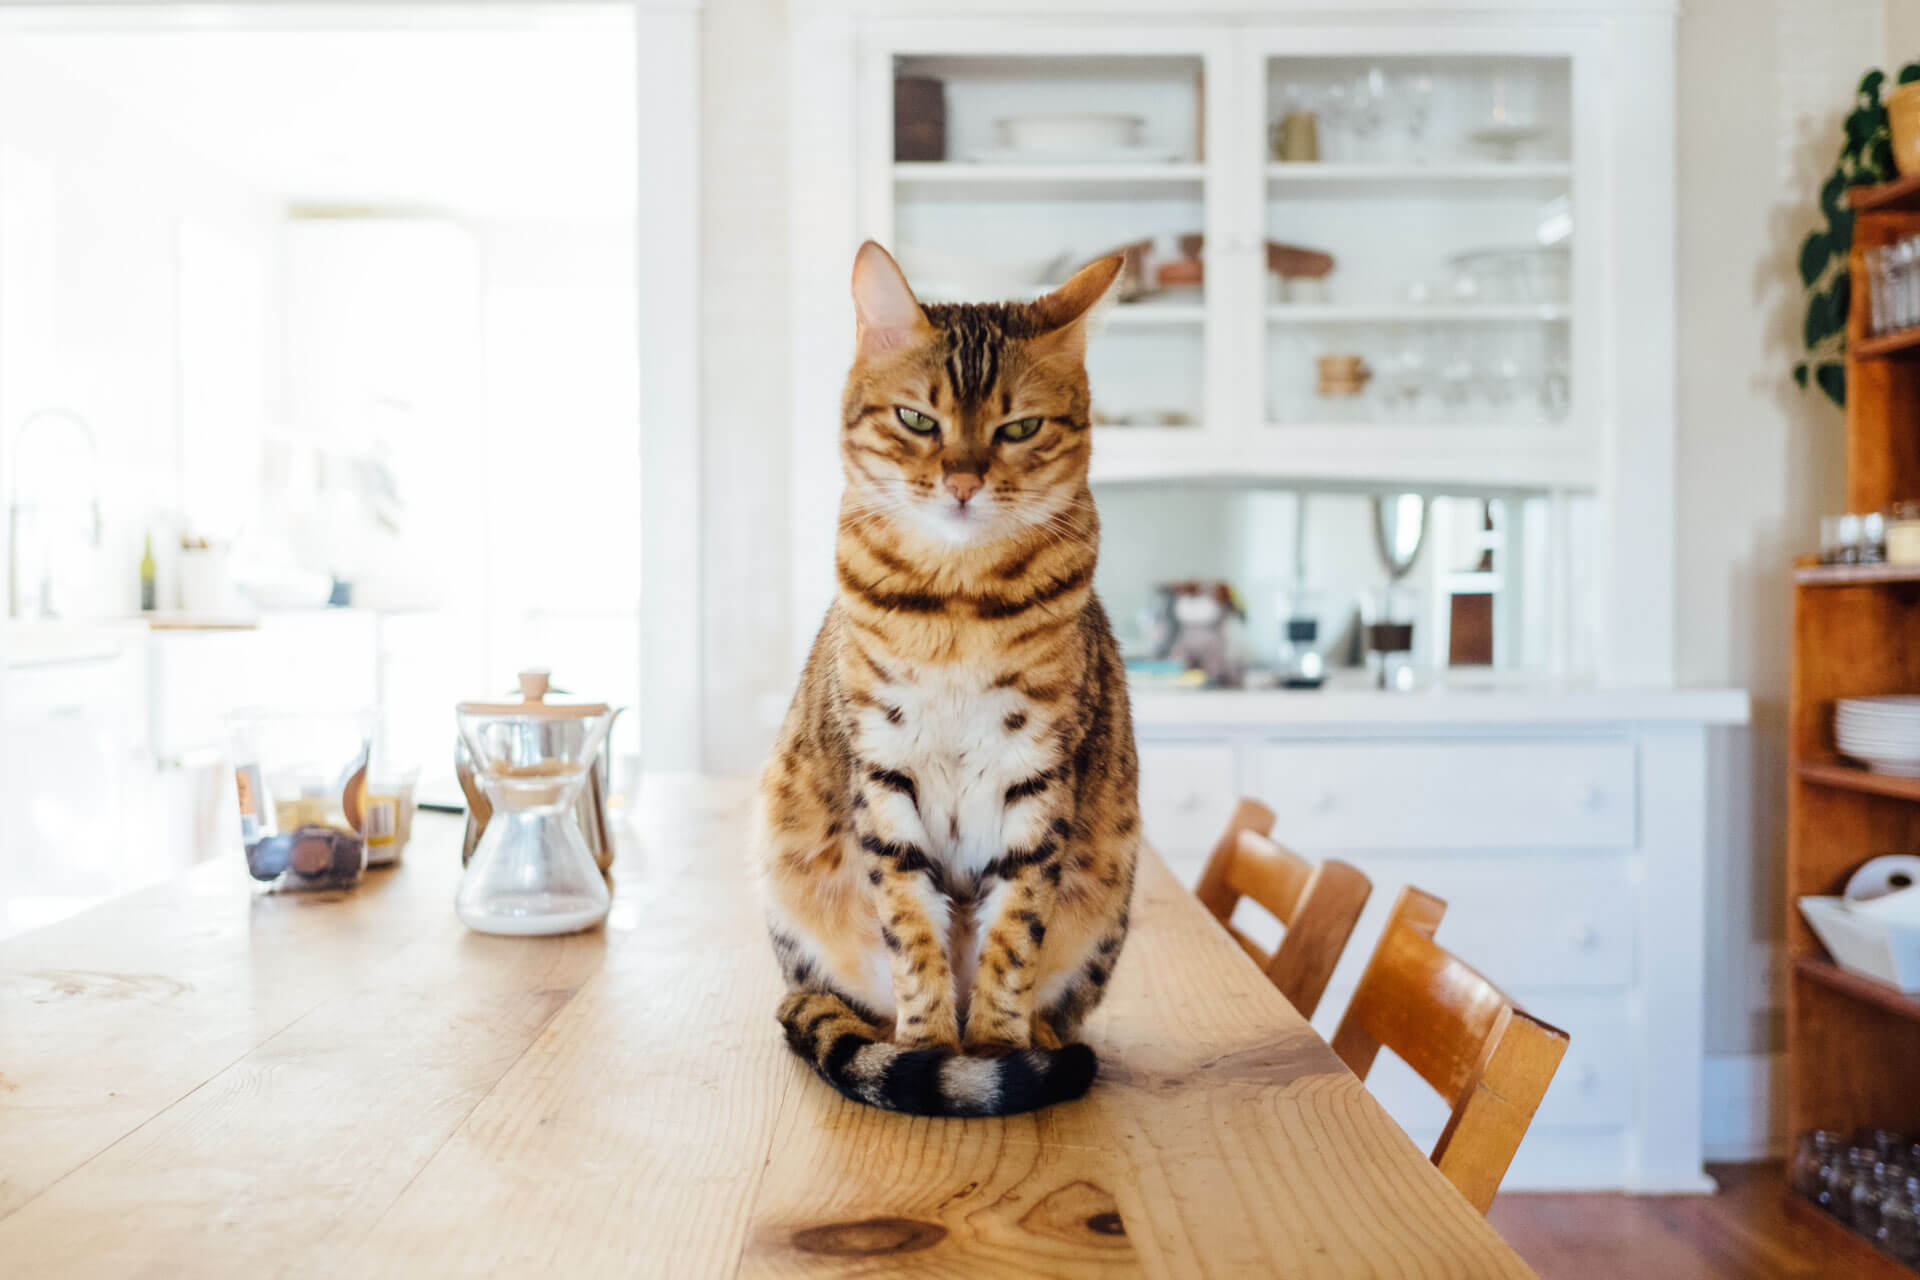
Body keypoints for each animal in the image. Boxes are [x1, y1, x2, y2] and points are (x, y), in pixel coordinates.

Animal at [748, 242, 1136, 1120]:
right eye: (917, 420)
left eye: (1019, 427)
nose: (962, 481)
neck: (959, 606)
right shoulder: (883, 769)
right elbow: (912, 929)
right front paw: (929, 1049)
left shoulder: (1038, 774)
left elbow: (1014, 932)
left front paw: (994, 1048)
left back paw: (1042, 1041)